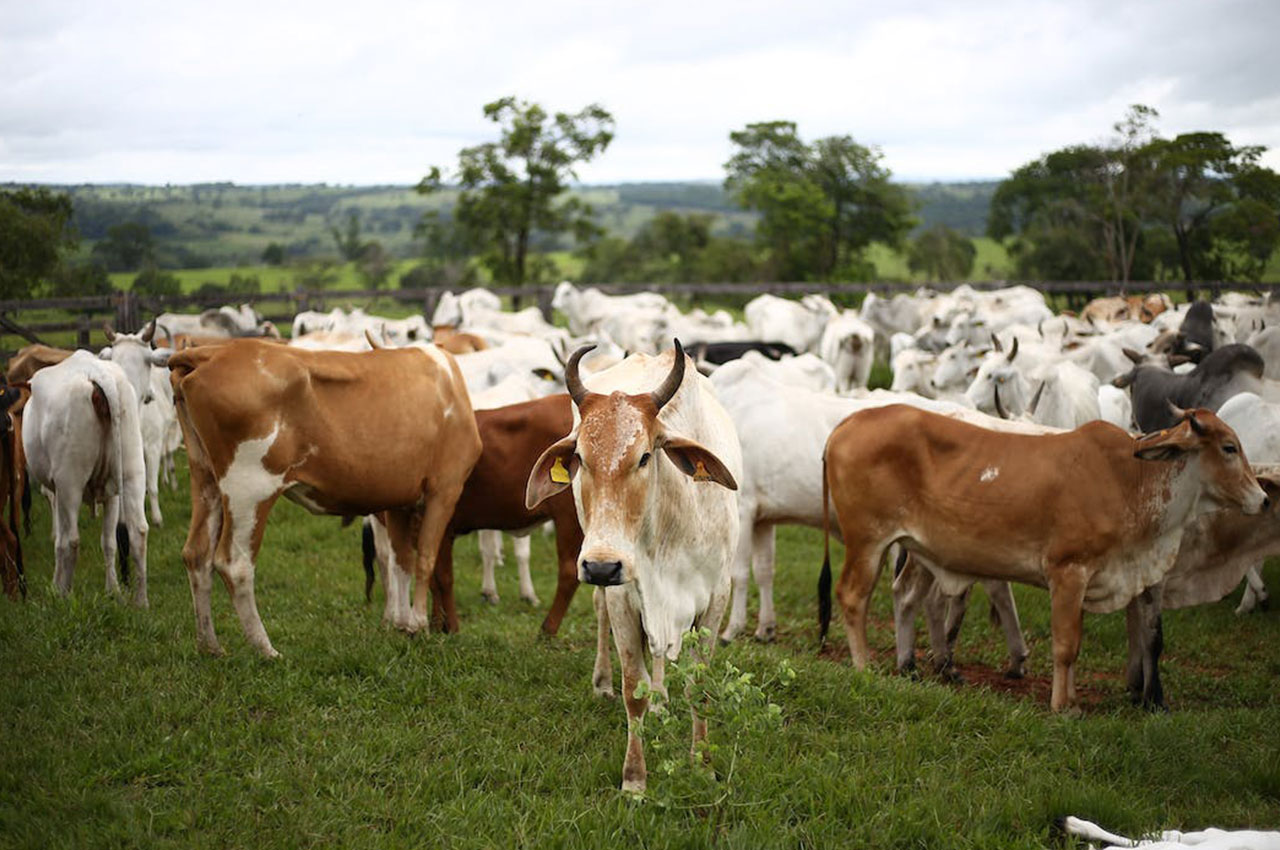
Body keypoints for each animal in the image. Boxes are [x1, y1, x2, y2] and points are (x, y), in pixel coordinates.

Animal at [165, 337, 476, 655]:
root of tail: (213, 352)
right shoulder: (445, 488)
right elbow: (425, 558)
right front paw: (419, 625)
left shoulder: (400, 500)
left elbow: (402, 561)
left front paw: (403, 626)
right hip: (249, 488)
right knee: (235, 564)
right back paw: (266, 649)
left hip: (205, 477)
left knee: (197, 554)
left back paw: (210, 646)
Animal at [819, 404, 1269, 711]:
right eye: (1229, 447)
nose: (1263, 499)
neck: (1130, 481)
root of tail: (847, 424)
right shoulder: (1068, 572)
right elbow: (1066, 645)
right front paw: (1061, 706)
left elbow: (1083, 643)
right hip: (867, 542)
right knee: (852, 597)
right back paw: (864, 667)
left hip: (911, 548)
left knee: (903, 596)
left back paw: (908, 666)